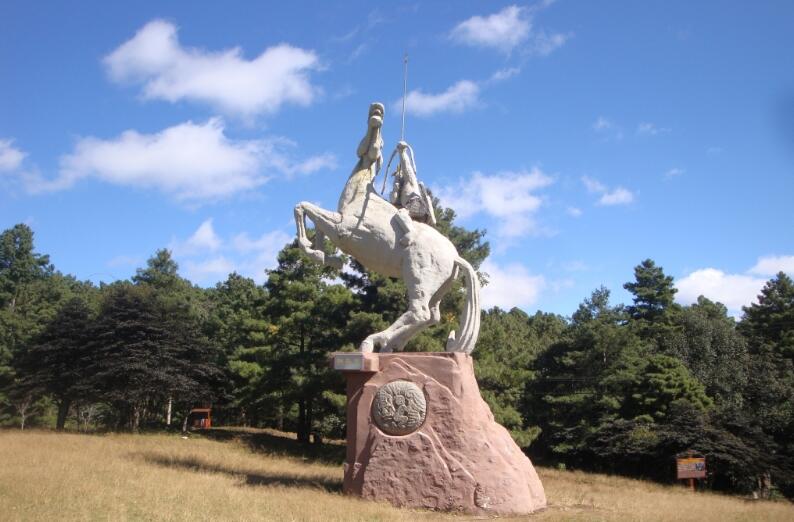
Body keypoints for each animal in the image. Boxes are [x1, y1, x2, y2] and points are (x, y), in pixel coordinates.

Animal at [290, 100, 476, 354]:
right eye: (370, 121)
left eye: (380, 141)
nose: (377, 113)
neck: (360, 194)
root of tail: (456, 257)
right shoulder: (336, 225)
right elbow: (309, 215)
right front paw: (325, 255)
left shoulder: (340, 227)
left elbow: (303, 208)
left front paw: (315, 252)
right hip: (437, 290)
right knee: (431, 316)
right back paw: (390, 344)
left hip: (418, 279)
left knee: (419, 313)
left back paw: (373, 342)